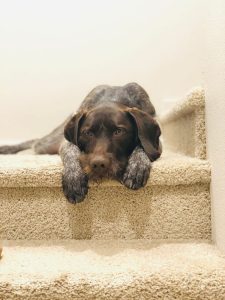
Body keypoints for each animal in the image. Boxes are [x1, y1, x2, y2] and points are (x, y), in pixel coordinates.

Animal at [0, 83, 162, 203]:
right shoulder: (66, 142)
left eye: (119, 131)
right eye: (87, 133)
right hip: (47, 143)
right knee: (35, 143)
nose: (99, 164)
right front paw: (74, 178)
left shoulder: (157, 144)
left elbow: (142, 146)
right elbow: (72, 152)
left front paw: (137, 167)